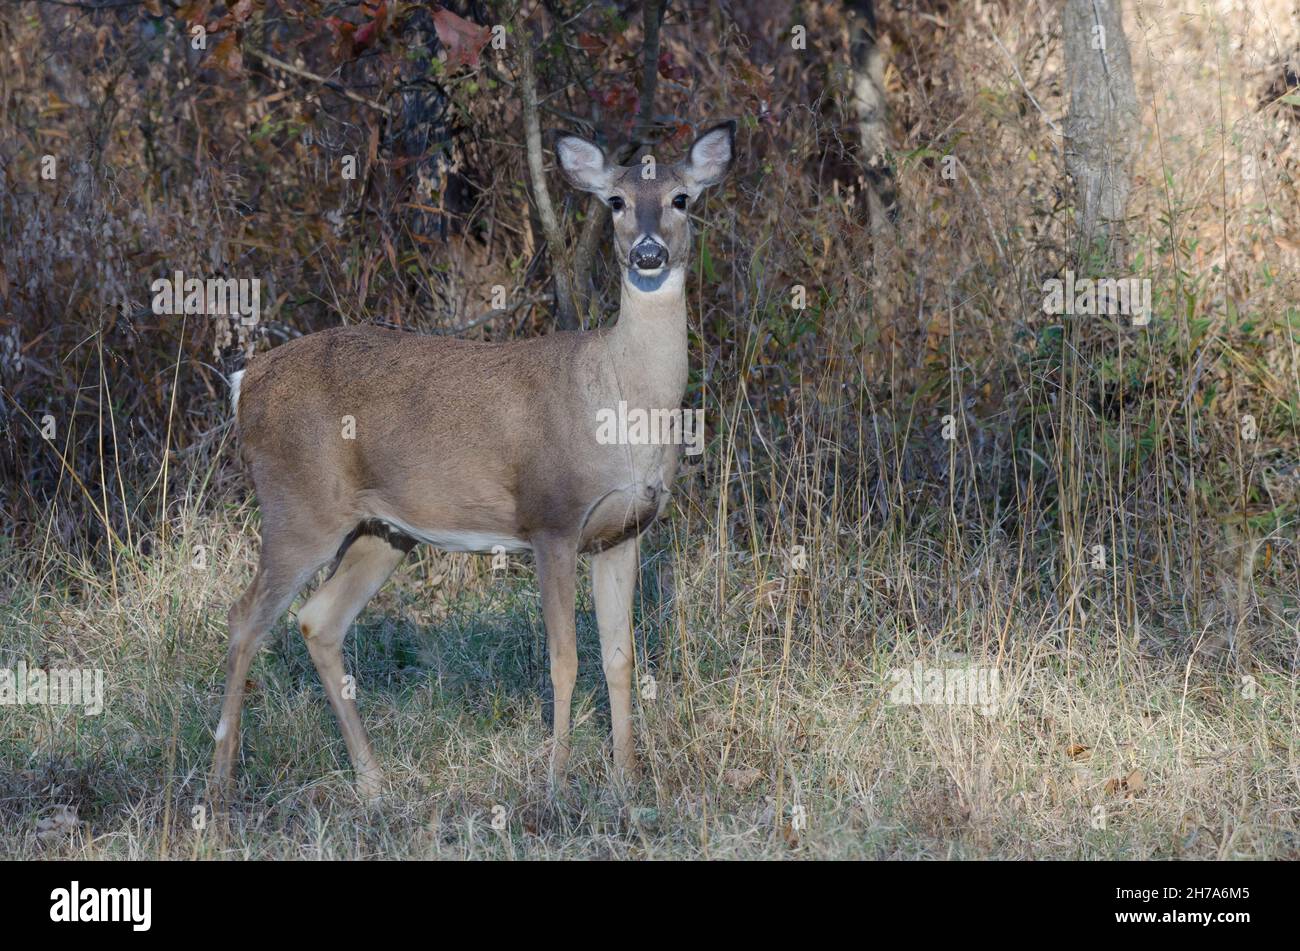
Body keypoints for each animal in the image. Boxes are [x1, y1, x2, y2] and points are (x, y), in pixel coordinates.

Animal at [210, 121, 736, 801]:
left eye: (681, 199)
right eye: (616, 202)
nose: (647, 253)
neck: (622, 402)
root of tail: (244, 382)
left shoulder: (622, 531)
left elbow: (619, 658)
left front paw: (626, 780)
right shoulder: (551, 518)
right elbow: (563, 660)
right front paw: (556, 780)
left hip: (383, 530)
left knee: (318, 621)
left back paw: (374, 783)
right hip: (296, 506)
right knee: (245, 617)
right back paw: (220, 784)